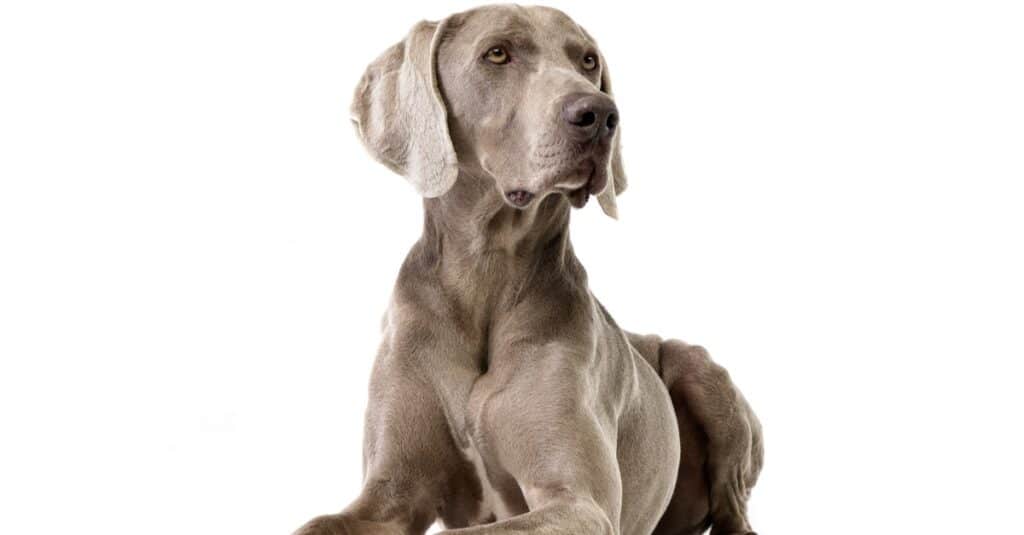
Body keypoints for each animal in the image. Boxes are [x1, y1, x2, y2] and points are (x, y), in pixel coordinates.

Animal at [296, 4, 761, 532]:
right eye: (497, 53)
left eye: (587, 60)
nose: (600, 114)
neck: (486, 272)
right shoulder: (390, 492)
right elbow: (319, 522)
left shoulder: (577, 500)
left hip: (700, 370)